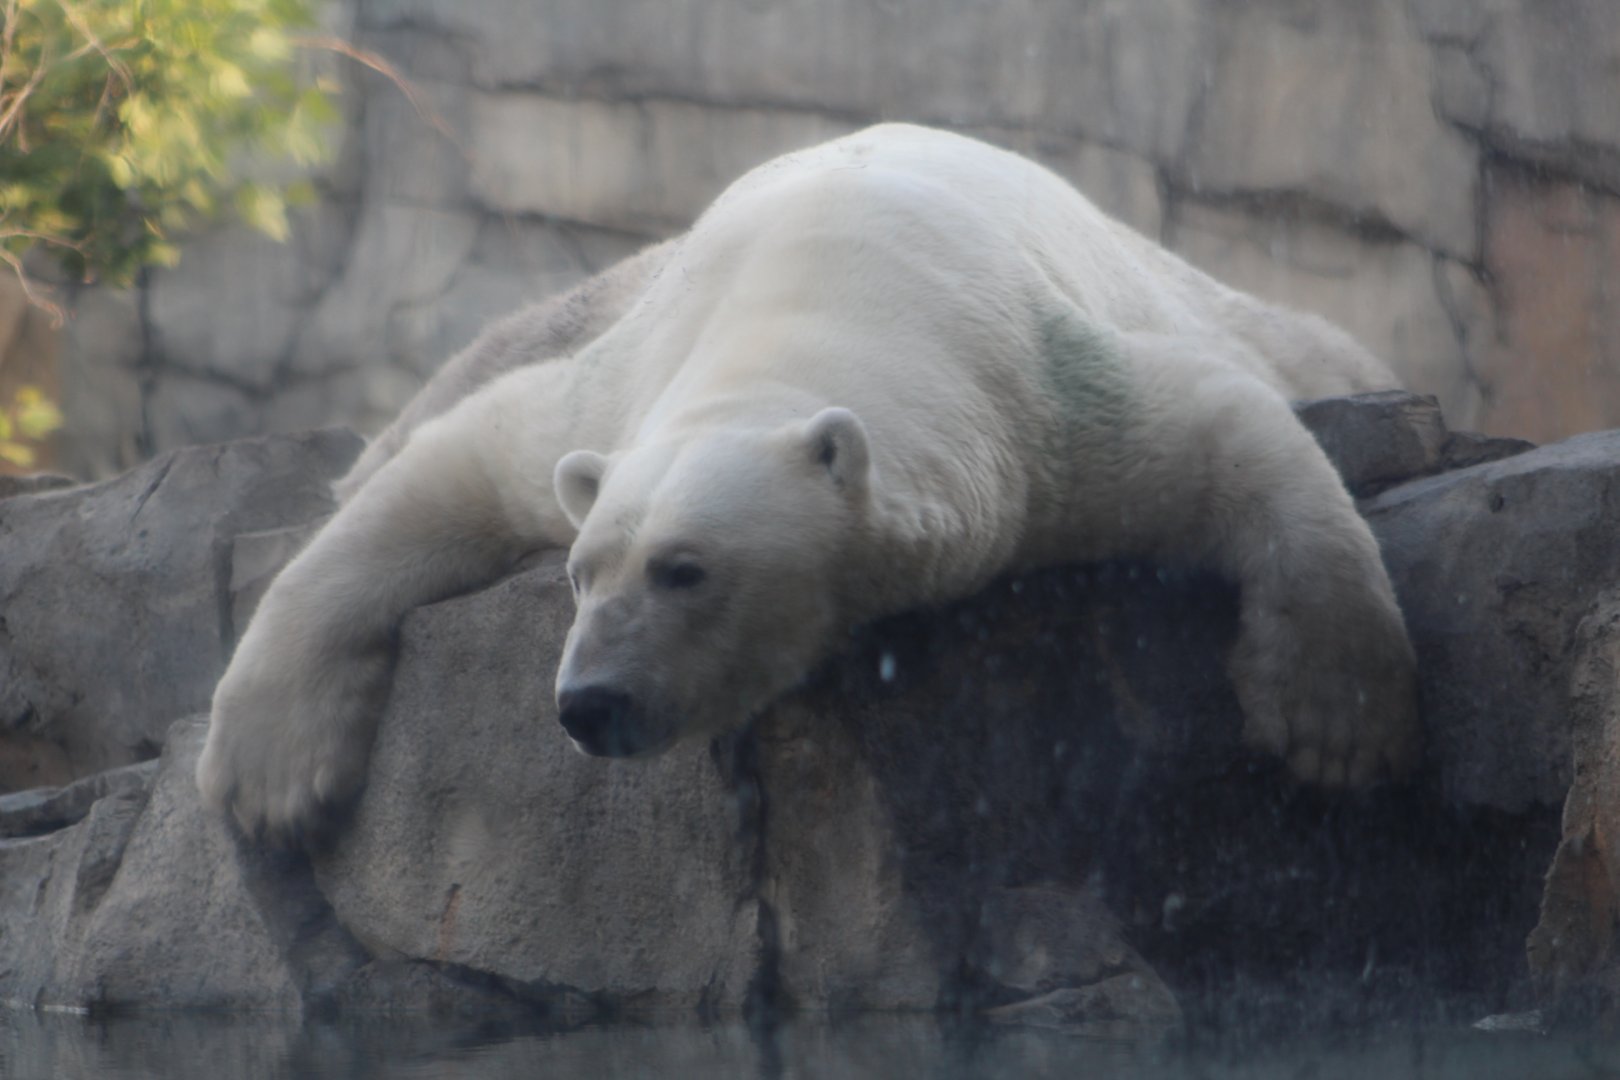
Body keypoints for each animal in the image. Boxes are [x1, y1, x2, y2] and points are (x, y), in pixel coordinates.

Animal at [197, 123, 1420, 840]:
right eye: (581, 576)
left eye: (686, 571)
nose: (588, 701)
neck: (819, 287)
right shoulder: (620, 389)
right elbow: (459, 468)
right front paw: (269, 776)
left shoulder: (1046, 395)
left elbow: (1225, 429)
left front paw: (1332, 723)